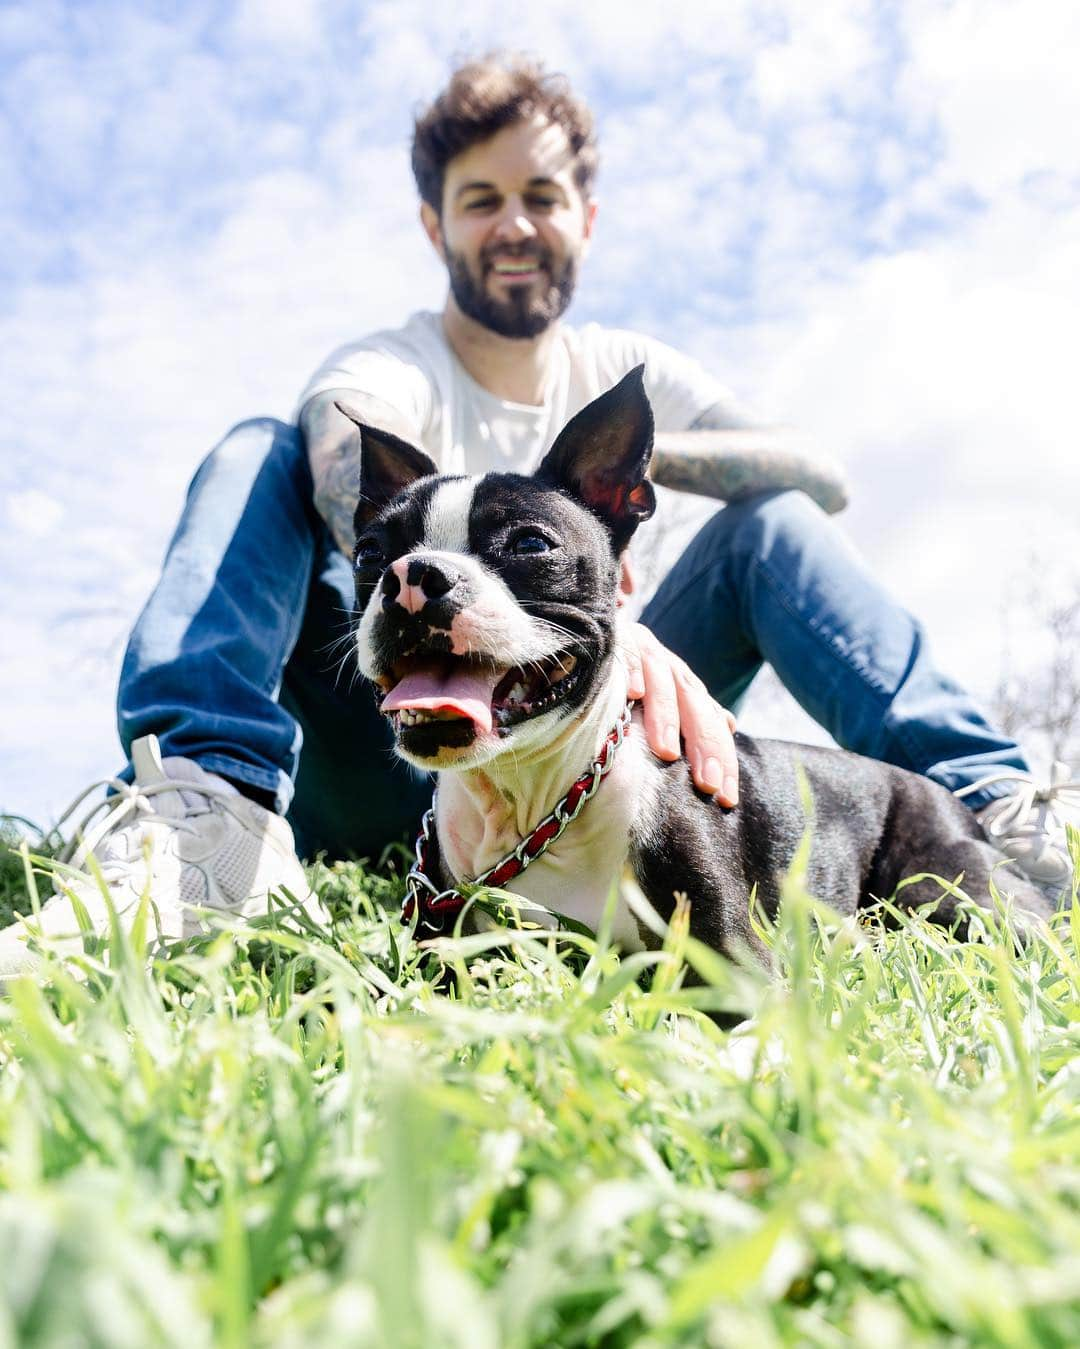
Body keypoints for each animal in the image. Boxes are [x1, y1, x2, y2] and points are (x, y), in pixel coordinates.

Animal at [337, 369, 1051, 960]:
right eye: (369, 553)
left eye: (530, 544)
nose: (413, 576)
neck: (531, 801)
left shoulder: (731, 959)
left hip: (955, 892)